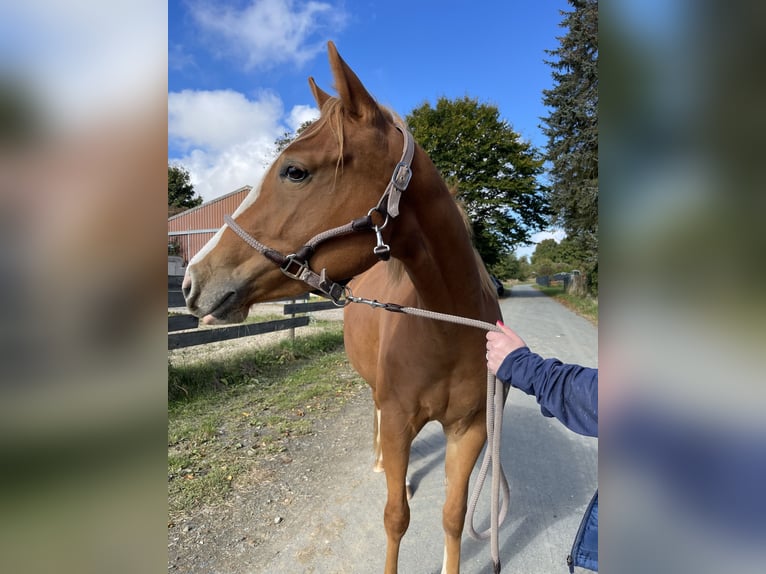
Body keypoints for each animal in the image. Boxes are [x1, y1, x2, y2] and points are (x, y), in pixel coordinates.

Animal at [182, 41, 502, 574]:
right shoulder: (397, 422)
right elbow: (396, 518)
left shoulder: (471, 430)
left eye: (295, 170)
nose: (192, 280)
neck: (447, 325)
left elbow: (454, 516)